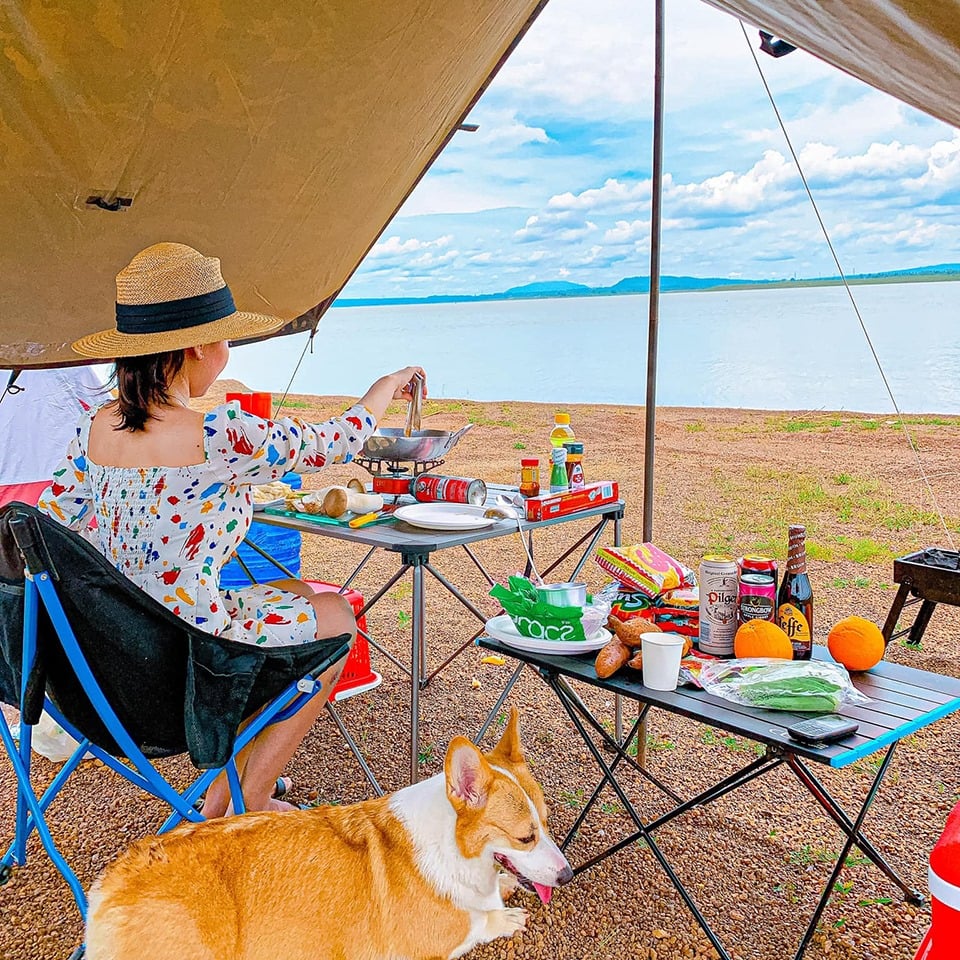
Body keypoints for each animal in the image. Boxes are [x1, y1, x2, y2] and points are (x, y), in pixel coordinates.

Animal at [84, 708, 568, 956]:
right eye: (525, 837)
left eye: (546, 824)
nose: (566, 876)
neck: (453, 848)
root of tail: (112, 882)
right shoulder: (429, 943)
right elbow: (477, 922)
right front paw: (504, 917)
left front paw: (504, 888)